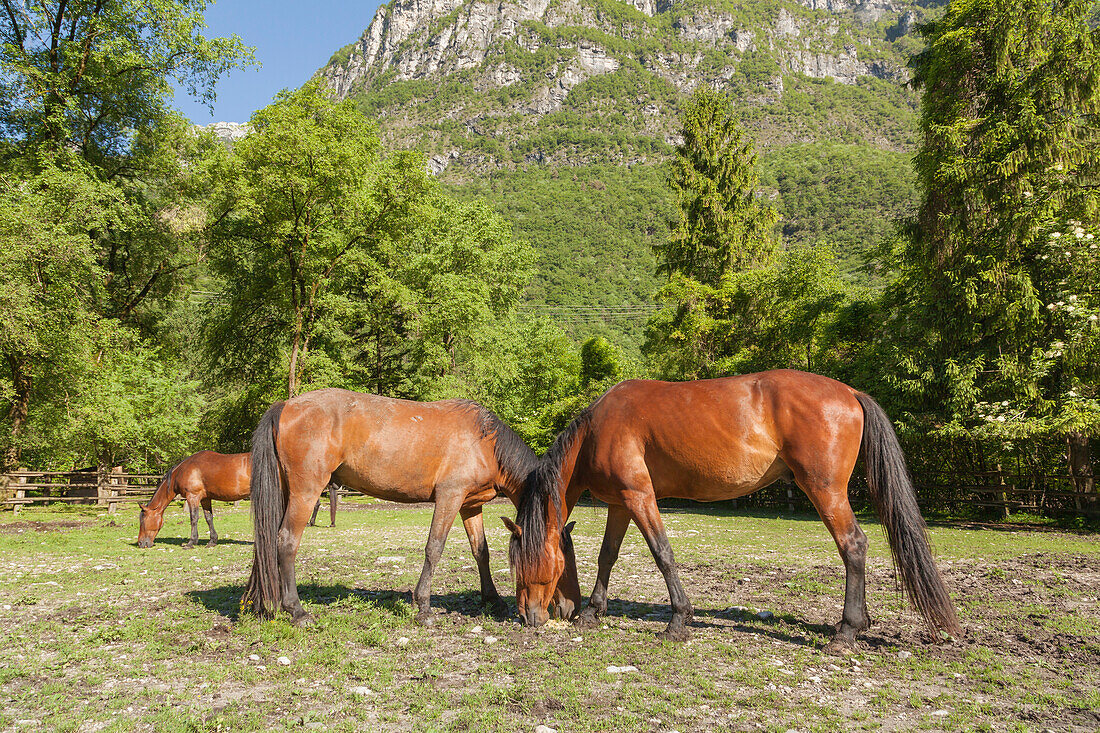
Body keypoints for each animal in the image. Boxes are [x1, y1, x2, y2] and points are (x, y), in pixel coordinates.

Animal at [240, 385, 580, 625]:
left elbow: (480, 551)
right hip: (306, 491)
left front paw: (492, 599)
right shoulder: (449, 497)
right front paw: (423, 607)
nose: (565, 611)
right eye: (560, 564)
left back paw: (263, 604)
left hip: (286, 492)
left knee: (267, 540)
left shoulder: (470, 505)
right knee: (286, 542)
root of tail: (286, 405)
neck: (484, 441)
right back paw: (296, 611)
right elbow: (434, 548)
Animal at [506, 372, 963, 651]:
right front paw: (592, 613)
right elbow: (607, 556)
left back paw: (846, 631)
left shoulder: (640, 497)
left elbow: (662, 555)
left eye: (526, 561)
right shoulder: (620, 502)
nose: (529, 617)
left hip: (825, 491)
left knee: (853, 546)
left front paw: (678, 620)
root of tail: (849, 392)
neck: (596, 431)